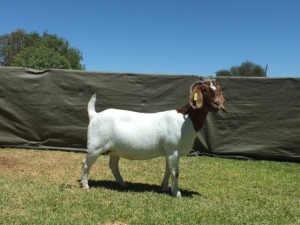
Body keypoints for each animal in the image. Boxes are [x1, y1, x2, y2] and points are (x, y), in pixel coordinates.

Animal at [81, 79, 226, 197]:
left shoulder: (169, 152)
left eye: (219, 90)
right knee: (86, 163)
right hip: (96, 146)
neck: (186, 119)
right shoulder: (173, 150)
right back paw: (85, 185)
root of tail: (95, 115)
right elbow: (175, 172)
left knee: (113, 166)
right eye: (205, 90)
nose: (217, 104)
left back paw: (123, 184)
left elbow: (168, 170)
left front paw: (165, 188)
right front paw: (177, 193)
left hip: (115, 149)